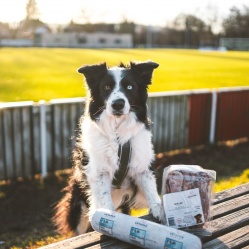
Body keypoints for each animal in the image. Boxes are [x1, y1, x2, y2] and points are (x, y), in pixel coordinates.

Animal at [54, 60, 162, 235]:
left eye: (130, 87)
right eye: (106, 87)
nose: (118, 104)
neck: (117, 135)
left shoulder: (141, 167)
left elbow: (151, 190)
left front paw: (159, 209)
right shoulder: (99, 173)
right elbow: (105, 201)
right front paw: (107, 220)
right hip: (79, 205)